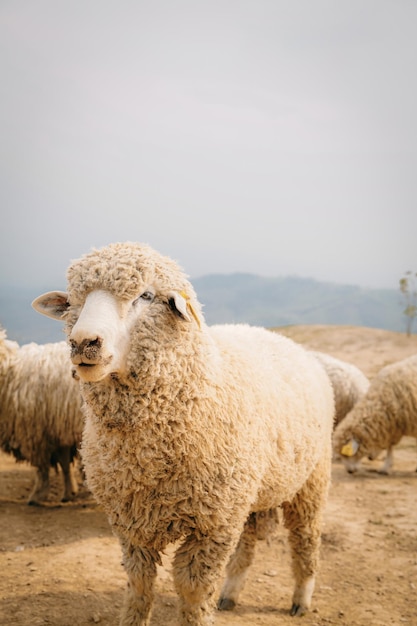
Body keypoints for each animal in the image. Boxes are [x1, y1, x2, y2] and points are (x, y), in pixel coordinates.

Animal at [0, 324, 84, 504]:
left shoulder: (35, 434)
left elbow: (42, 469)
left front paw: (37, 495)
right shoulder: (58, 432)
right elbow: (64, 463)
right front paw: (69, 492)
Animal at [32, 241, 334, 624]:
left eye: (145, 296)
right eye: (73, 300)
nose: (84, 342)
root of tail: (278, 336)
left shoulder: (213, 525)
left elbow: (193, 591)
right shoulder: (132, 521)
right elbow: (139, 584)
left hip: (310, 481)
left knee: (305, 537)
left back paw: (301, 597)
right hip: (250, 490)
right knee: (249, 539)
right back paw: (231, 592)